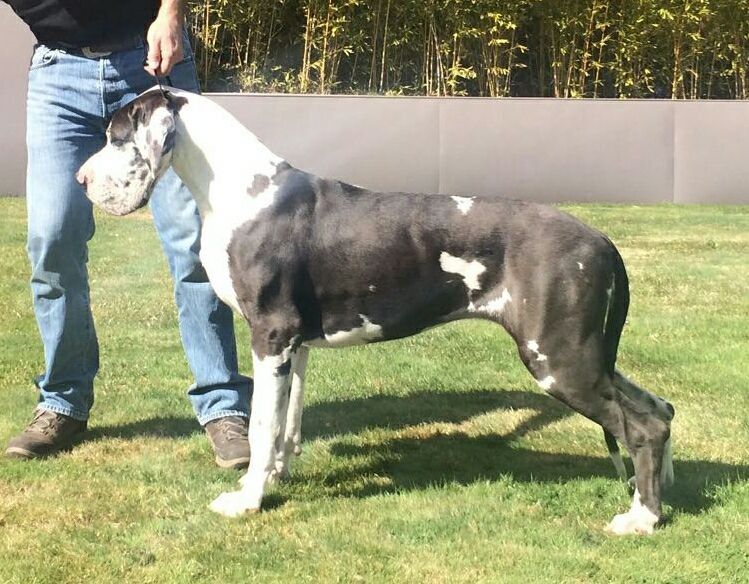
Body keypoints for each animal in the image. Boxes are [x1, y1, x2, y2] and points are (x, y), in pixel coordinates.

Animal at [77, 87, 675, 535]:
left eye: (115, 135)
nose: (82, 180)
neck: (242, 191)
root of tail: (601, 240)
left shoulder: (270, 334)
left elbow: (263, 426)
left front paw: (247, 499)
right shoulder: (295, 345)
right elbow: (287, 422)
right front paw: (277, 477)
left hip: (557, 358)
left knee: (642, 425)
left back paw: (641, 517)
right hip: (587, 353)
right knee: (660, 408)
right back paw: (660, 488)